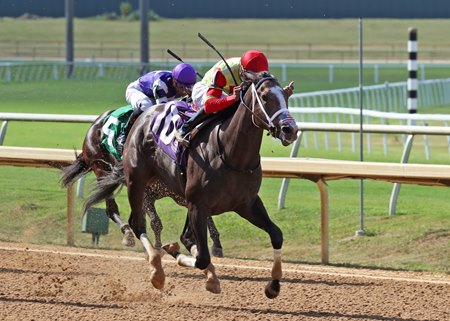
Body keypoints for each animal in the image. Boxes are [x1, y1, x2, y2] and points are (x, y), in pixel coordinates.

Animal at [59, 108, 223, 255]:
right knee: (112, 209)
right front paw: (158, 247)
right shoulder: (147, 193)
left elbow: (206, 216)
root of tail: (96, 123)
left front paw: (216, 245)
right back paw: (128, 234)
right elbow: (155, 222)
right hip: (101, 170)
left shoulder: (182, 194)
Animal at [84, 73, 298, 298]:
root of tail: (145, 114)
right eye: (265, 97)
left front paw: (273, 285)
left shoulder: (247, 204)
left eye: (286, 96)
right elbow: (201, 257)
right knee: (137, 224)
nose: (290, 130)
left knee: (180, 236)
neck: (231, 154)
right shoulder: (197, 205)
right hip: (136, 181)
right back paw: (156, 270)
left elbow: (276, 235)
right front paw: (173, 253)